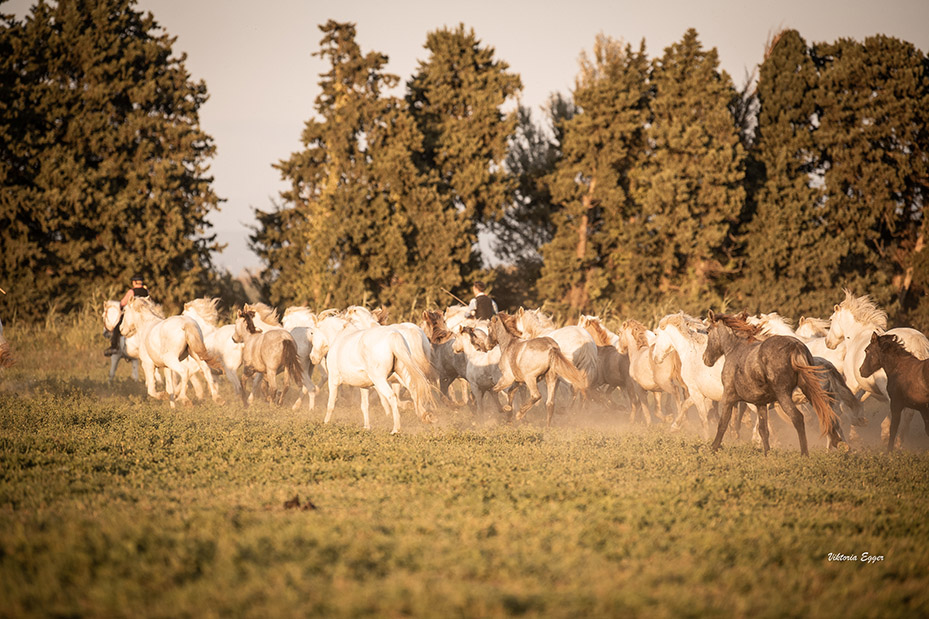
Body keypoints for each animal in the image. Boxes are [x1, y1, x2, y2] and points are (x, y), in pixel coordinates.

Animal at [703, 311, 844, 455]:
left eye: (708, 331)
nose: (705, 359)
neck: (735, 349)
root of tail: (795, 347)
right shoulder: (760, 403)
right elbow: (763, 430)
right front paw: (767, 453)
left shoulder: (729, 396)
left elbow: (723, 424)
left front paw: (713, 448)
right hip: (809, 390)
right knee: (827, 414)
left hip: (783, 395)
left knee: (798, 418)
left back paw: (805, 453)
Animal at [825, 290, 929, 446]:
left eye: (831, 320)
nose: (828, 342)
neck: (857, 336)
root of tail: (918, 343)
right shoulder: (866, 388)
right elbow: (857, 404)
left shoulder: (852, 384)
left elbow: (845, 405)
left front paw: (859, 423)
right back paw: (899, 441)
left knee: (901, 411)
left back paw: (887, 433)